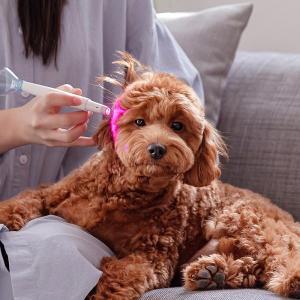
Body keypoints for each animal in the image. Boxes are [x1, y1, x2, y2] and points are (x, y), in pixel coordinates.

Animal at [0, 52, 298, 298]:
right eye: (139, 122)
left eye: (177, 126)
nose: (157, 148)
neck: (123, 193)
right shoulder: (53, 192)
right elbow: (26, 199)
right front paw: (5, 216)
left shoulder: (153, 256)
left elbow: (124, 273)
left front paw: (104, 295)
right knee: (255, 267)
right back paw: (213, 274)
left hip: (245, 219)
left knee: (279, 256)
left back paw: (285, 280)